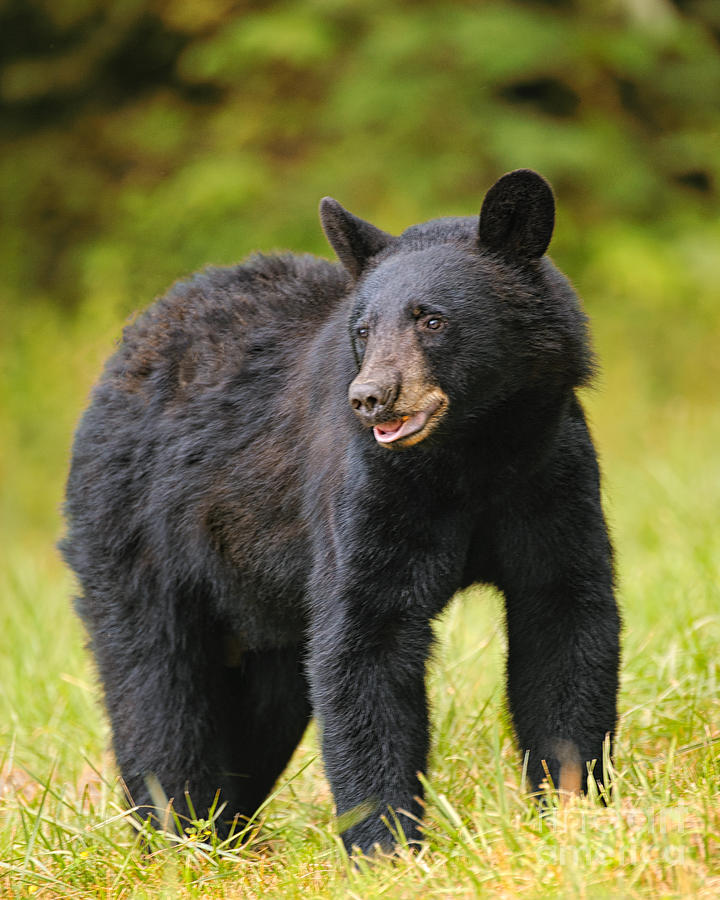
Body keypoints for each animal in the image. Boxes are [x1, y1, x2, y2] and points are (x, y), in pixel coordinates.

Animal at [62, 171, 620, 856]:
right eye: (362, 330)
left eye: (432, 319)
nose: (371, 397)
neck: (473, 456)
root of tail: (129, 345)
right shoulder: (369, 495)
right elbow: (362, 644)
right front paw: (387, 847)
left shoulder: (550, 477)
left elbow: (565, 621)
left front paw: (573, 810)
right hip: (138, 534)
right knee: (156, 687)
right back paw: (183, 835)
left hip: (262, 606)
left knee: (264, 706)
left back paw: (229, 830)